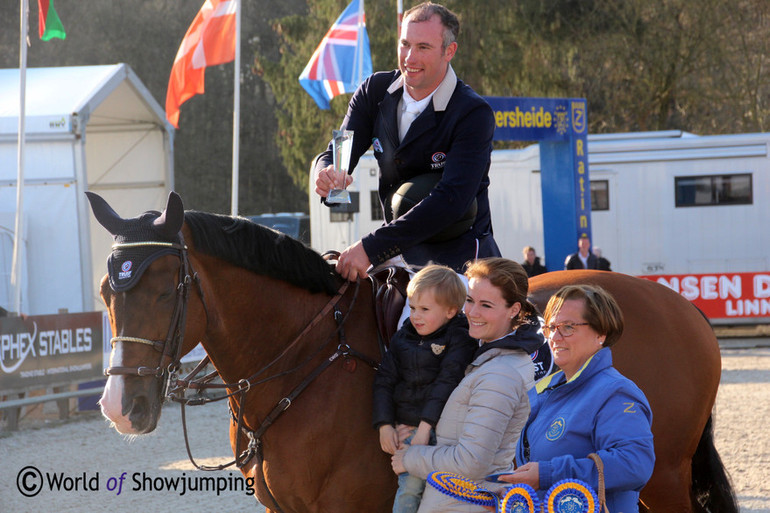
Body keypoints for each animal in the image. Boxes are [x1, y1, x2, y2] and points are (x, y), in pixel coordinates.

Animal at [87, 192, 736, 512]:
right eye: (106, 291)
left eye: (164, 287)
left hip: (661, 476)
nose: (121, 407)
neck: (304, 363)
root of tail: (683, 308)